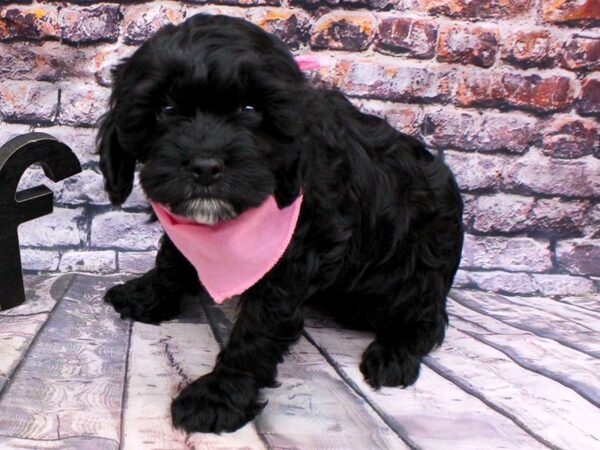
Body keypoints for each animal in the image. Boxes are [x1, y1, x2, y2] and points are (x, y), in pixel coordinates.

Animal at [97, 14, 464, 434]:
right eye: (167, 109)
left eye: (250, 109)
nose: (206, 166)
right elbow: (173, 256)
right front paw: (148, 295)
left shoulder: (296, 253)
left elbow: (258, 326)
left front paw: (219, 395)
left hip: (416, 268)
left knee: (427, 317)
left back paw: (393, 355)